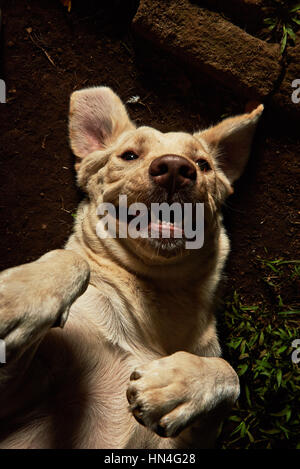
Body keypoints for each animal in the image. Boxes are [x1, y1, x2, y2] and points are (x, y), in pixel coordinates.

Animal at [0, 86, 262, 448]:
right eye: (129, 155)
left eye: (203, 164)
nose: (175, 168)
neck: (159, 294)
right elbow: (73, 260)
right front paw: (16, 299)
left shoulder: (191, 442)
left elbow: (228, 372)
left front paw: (172, 386)